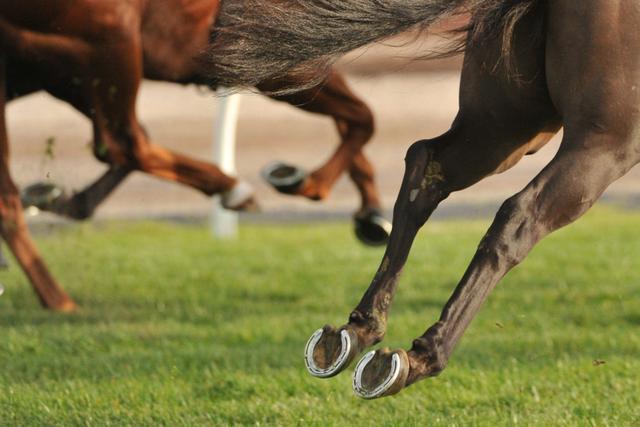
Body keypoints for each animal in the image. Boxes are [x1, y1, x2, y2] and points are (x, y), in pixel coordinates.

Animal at [0, 0, 396, 308]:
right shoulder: (271, 55)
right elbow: (363, 117)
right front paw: (311, 184)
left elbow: (354, 117)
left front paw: (371, 213)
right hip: (110, 40)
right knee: (125, 143)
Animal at [208, 0, 640, 398]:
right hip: (603, 141)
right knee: (520, 215)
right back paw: (420, 356)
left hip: (507, 122)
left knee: (426, 166)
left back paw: (357, 331)